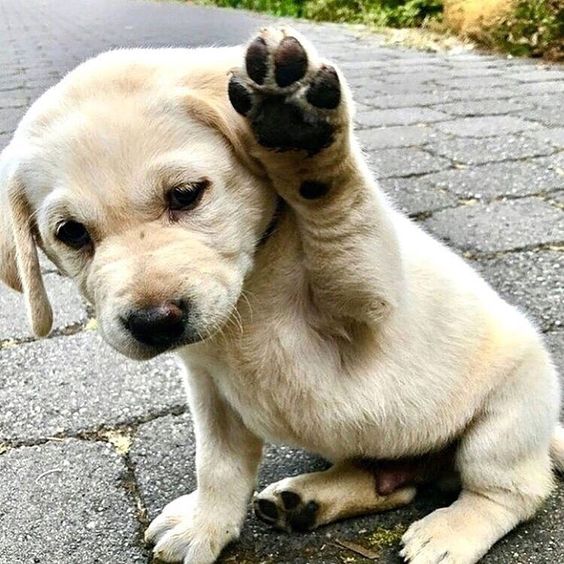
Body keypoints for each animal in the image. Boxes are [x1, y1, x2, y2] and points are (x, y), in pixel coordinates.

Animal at [1, 27, 564, 564]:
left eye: (185, 195)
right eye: (71, 233)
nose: (153, 322)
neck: (251, 289)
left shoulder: (371, 301)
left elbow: (341, 216)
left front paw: (302, 140)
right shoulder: (210, 389)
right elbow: (217, 467)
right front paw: (206, 523)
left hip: (507, 415)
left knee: (514, 491)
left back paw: (453, 529)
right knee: (391, 483)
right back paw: (308, 500)